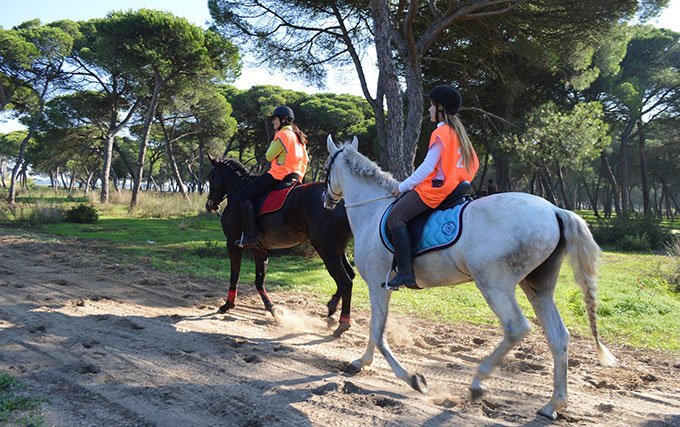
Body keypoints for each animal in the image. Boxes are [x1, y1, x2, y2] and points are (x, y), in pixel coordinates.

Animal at [206, 155, 356, 336]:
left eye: (211, 176)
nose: (210, 204)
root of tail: (342, 201)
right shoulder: (260, 249)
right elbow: (259, 281)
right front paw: (272, 309)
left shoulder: (233, 244)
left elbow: (234, 275)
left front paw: (227, 305)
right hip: (336, 251)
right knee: (351, 275)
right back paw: (332, 308)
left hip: (327, 252)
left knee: (345, 282)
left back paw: (343, 323)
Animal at [324, 137, 616, 422]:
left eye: (326, 166)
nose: (326, 200)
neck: (373, 209)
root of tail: (555, 210)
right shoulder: (379, 288)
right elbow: (375, 330)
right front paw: (362, 362)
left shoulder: (378, 286)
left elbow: (377, 331)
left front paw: (413, 379)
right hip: (538, 288)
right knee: (558, 337)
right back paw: (553, 404)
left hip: (494, 285)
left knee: (516, 328)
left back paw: (478, 382)